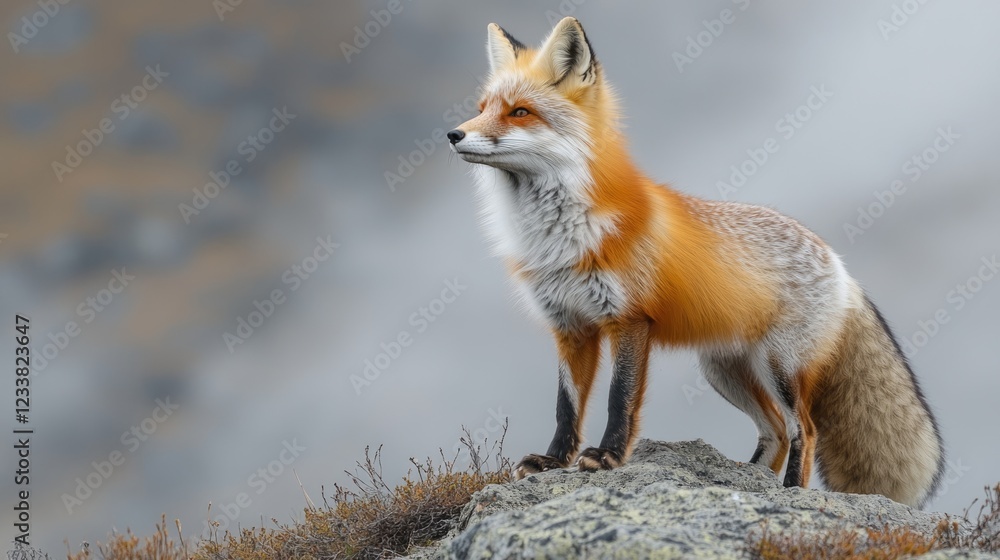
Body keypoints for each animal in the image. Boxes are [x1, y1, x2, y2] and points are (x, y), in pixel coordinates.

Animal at [448, 17, 945, 508]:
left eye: (519, 112)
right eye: (482, 107)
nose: (454, 134)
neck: (560, 236)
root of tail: (838, 261)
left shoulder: (629, 319)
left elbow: (618, 399)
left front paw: (608, 458)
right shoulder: (570, 327)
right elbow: (565, 406)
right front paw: (553, 461)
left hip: (779, 367)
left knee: (804, 429)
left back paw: (790, 494)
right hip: (725, 371)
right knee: (775, 431)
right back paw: (747, 480)